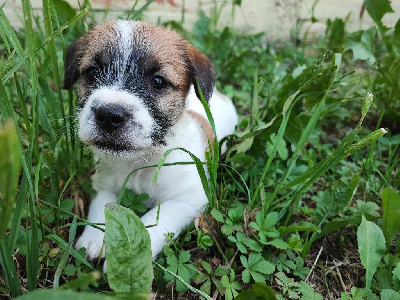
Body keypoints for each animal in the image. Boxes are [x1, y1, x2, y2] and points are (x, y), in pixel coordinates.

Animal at [63, 19, 238, 262]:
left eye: (158, 81)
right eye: (92, 72)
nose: (109, 115)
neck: (139, 162)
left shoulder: (187, 199)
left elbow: (154, 222)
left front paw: (136, 254)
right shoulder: (102, 185)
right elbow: (103, 206)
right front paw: (94, 238)